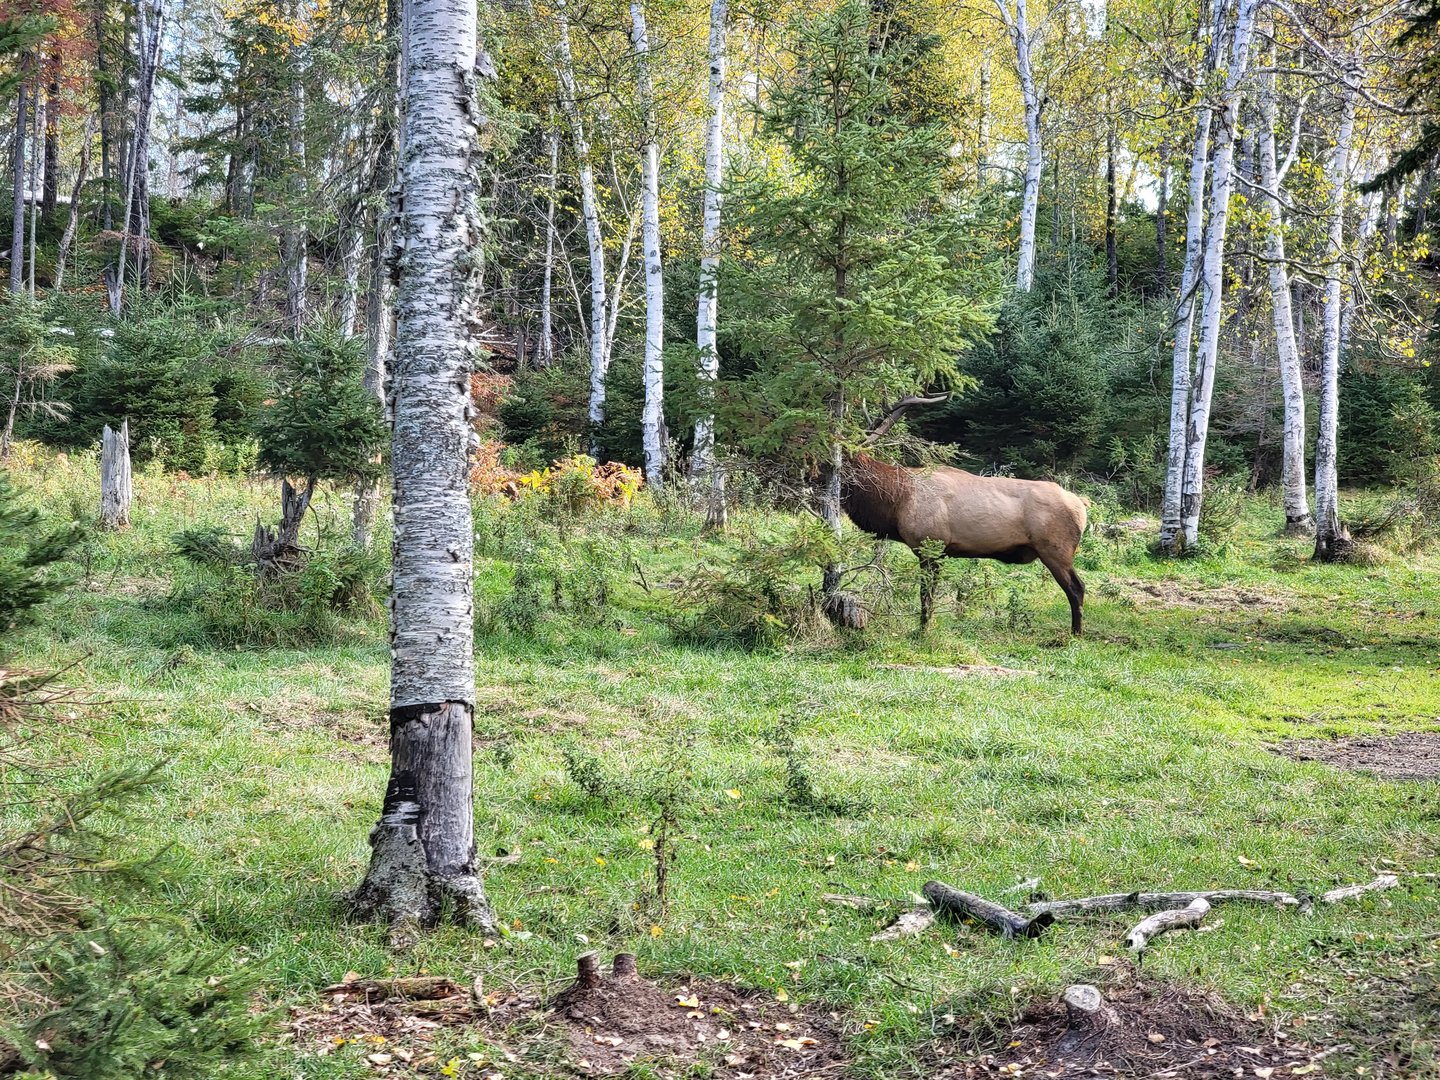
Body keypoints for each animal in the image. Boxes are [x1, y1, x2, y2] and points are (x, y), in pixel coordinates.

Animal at [839, 397, 1089, 635]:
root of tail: (1082, 506)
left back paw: (1075, 633)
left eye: (839, 464)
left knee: (1077, 588)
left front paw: (922, 631)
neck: (897, 504)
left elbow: (926, 597)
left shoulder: (931, 545)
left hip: (1056, 549)